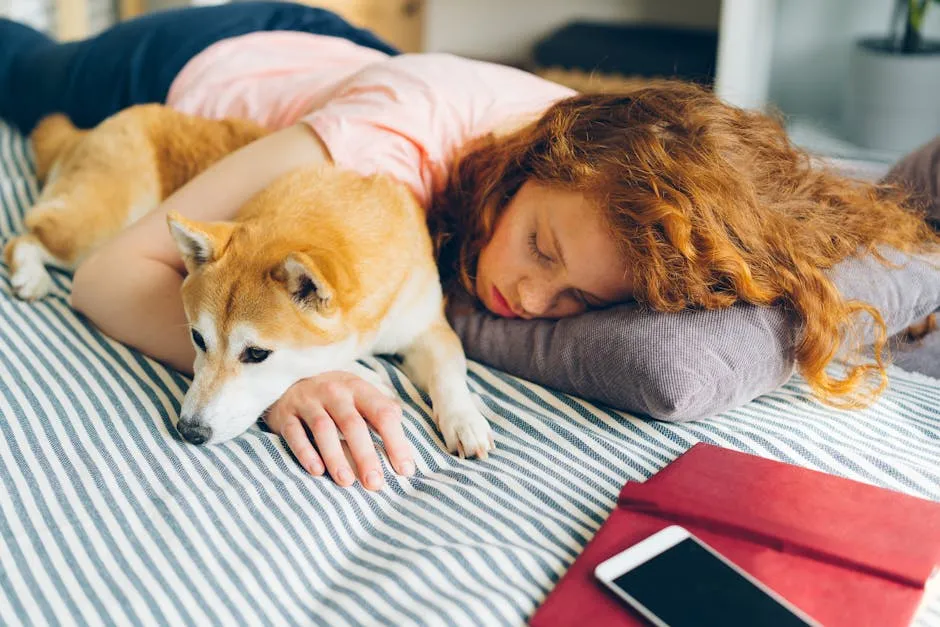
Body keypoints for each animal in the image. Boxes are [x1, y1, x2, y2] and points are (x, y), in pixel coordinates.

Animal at [3, 102, 496, 456]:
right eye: (197, 339)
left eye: (257, 353)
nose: (189, 431)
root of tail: (93, 126)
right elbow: (339, 364)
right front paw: (367, 374)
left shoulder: (427, 326)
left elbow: (450, 369)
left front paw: (465, 418)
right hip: (98, 229)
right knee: (29, 231)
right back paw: (29, 273)